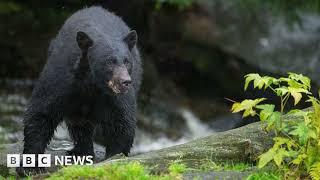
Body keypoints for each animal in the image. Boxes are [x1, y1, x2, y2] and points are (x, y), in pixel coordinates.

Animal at [18, 6, 141, 174]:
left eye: (127, 61)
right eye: (109, 61)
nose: (125, 82)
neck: (91, 84)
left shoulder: (115, 98)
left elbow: (122, 122)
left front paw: (115, 158)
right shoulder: (61, 80)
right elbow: (41, 112)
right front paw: (30, 167)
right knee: (79, 124)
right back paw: (81, 152)